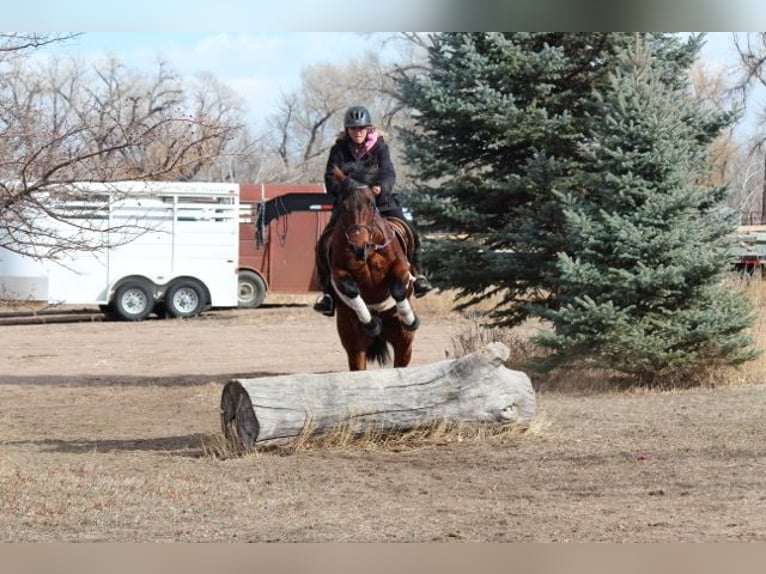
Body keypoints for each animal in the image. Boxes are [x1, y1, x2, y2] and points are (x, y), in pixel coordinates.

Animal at [328, 165, 424, 374]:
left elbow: (397, 288)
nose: (358, 247)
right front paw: (370, 322)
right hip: (354, 345)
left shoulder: (401, 265)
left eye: (371, 204)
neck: (370, 249)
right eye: (343, 205)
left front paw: (409, 318)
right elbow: (350, 288)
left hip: (403, 342)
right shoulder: (338, 271)